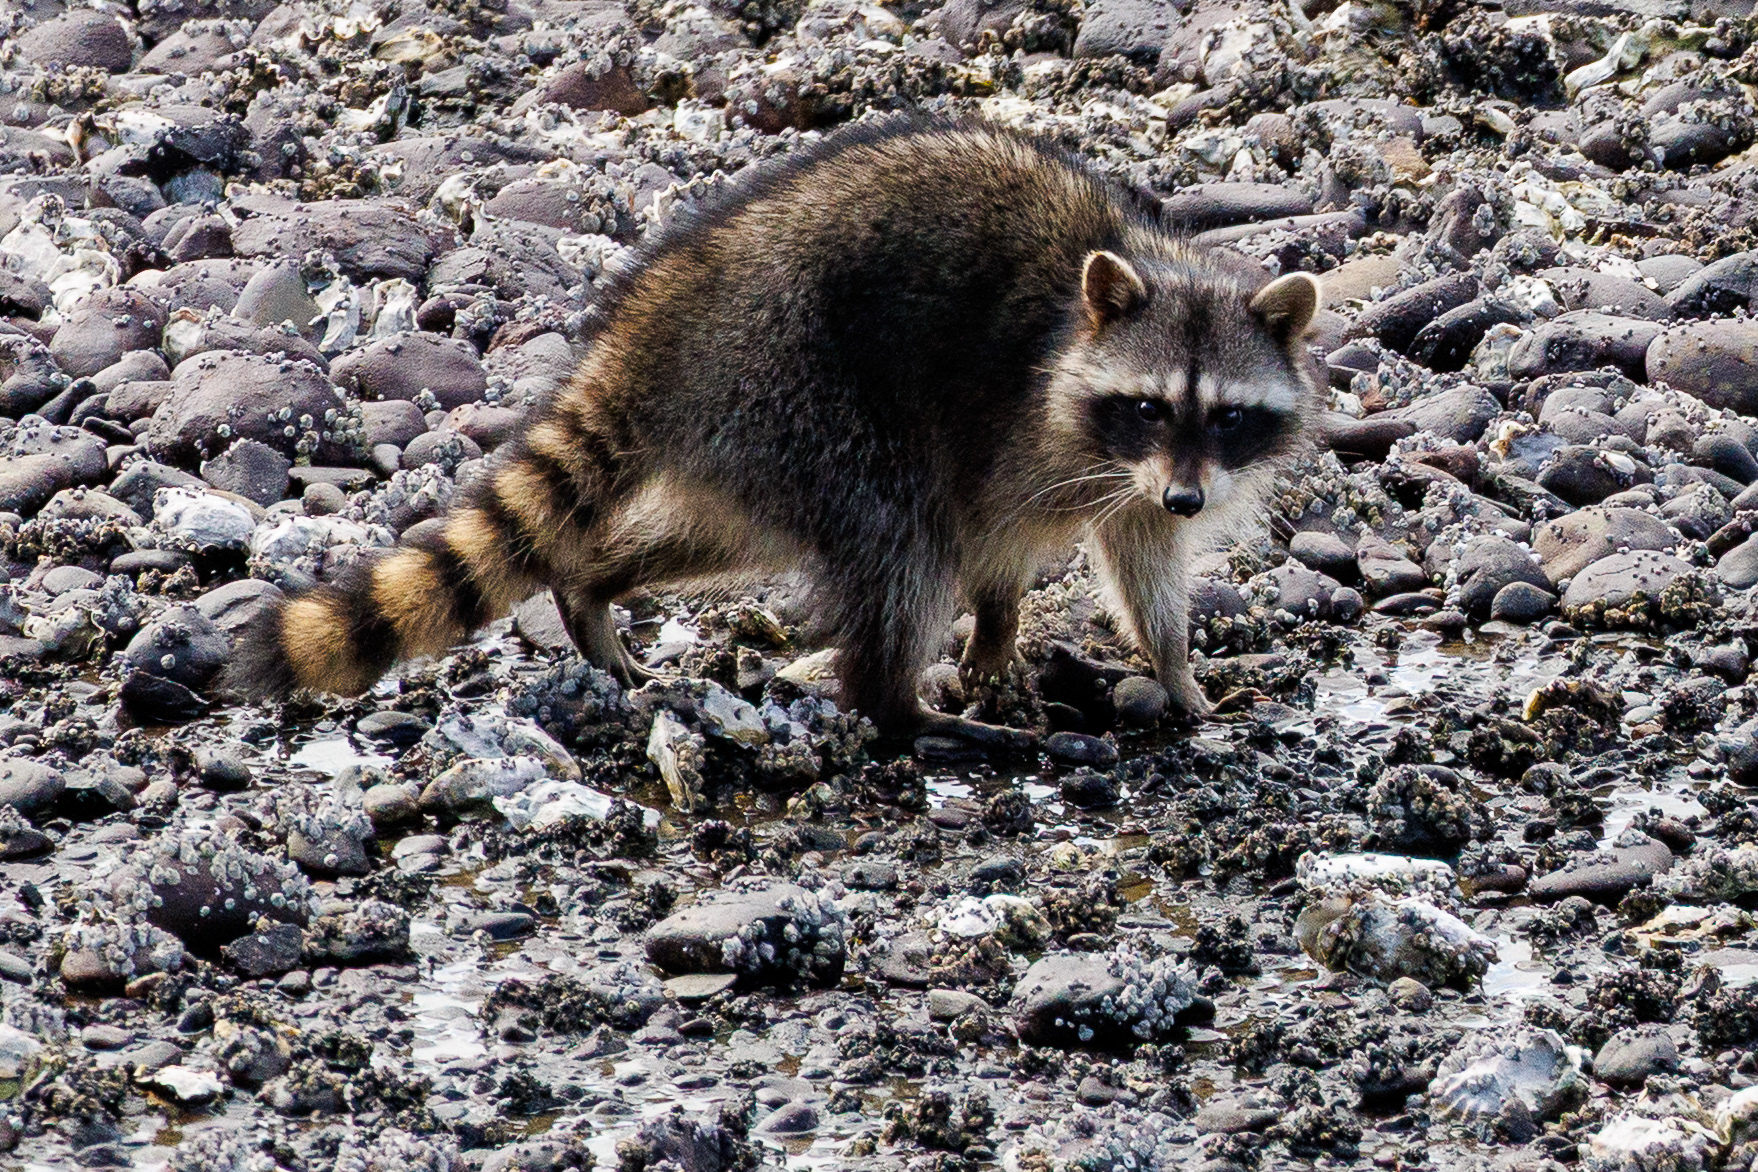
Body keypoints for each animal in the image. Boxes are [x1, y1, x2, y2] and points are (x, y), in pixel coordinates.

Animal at [230, 117, 1319, 738]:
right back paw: (901, 708)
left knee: (720, 531)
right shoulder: (1014, 420)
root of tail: (658, 316)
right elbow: (986, 536)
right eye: (1150, 405)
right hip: (802, 390)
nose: (1189, 496)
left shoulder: (1139, 480)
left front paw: (1176, 669)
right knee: (903, 539)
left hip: (751, 438)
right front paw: (996, 629)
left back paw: (592, 584)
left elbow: (1144, 560)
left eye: (1227, 416)